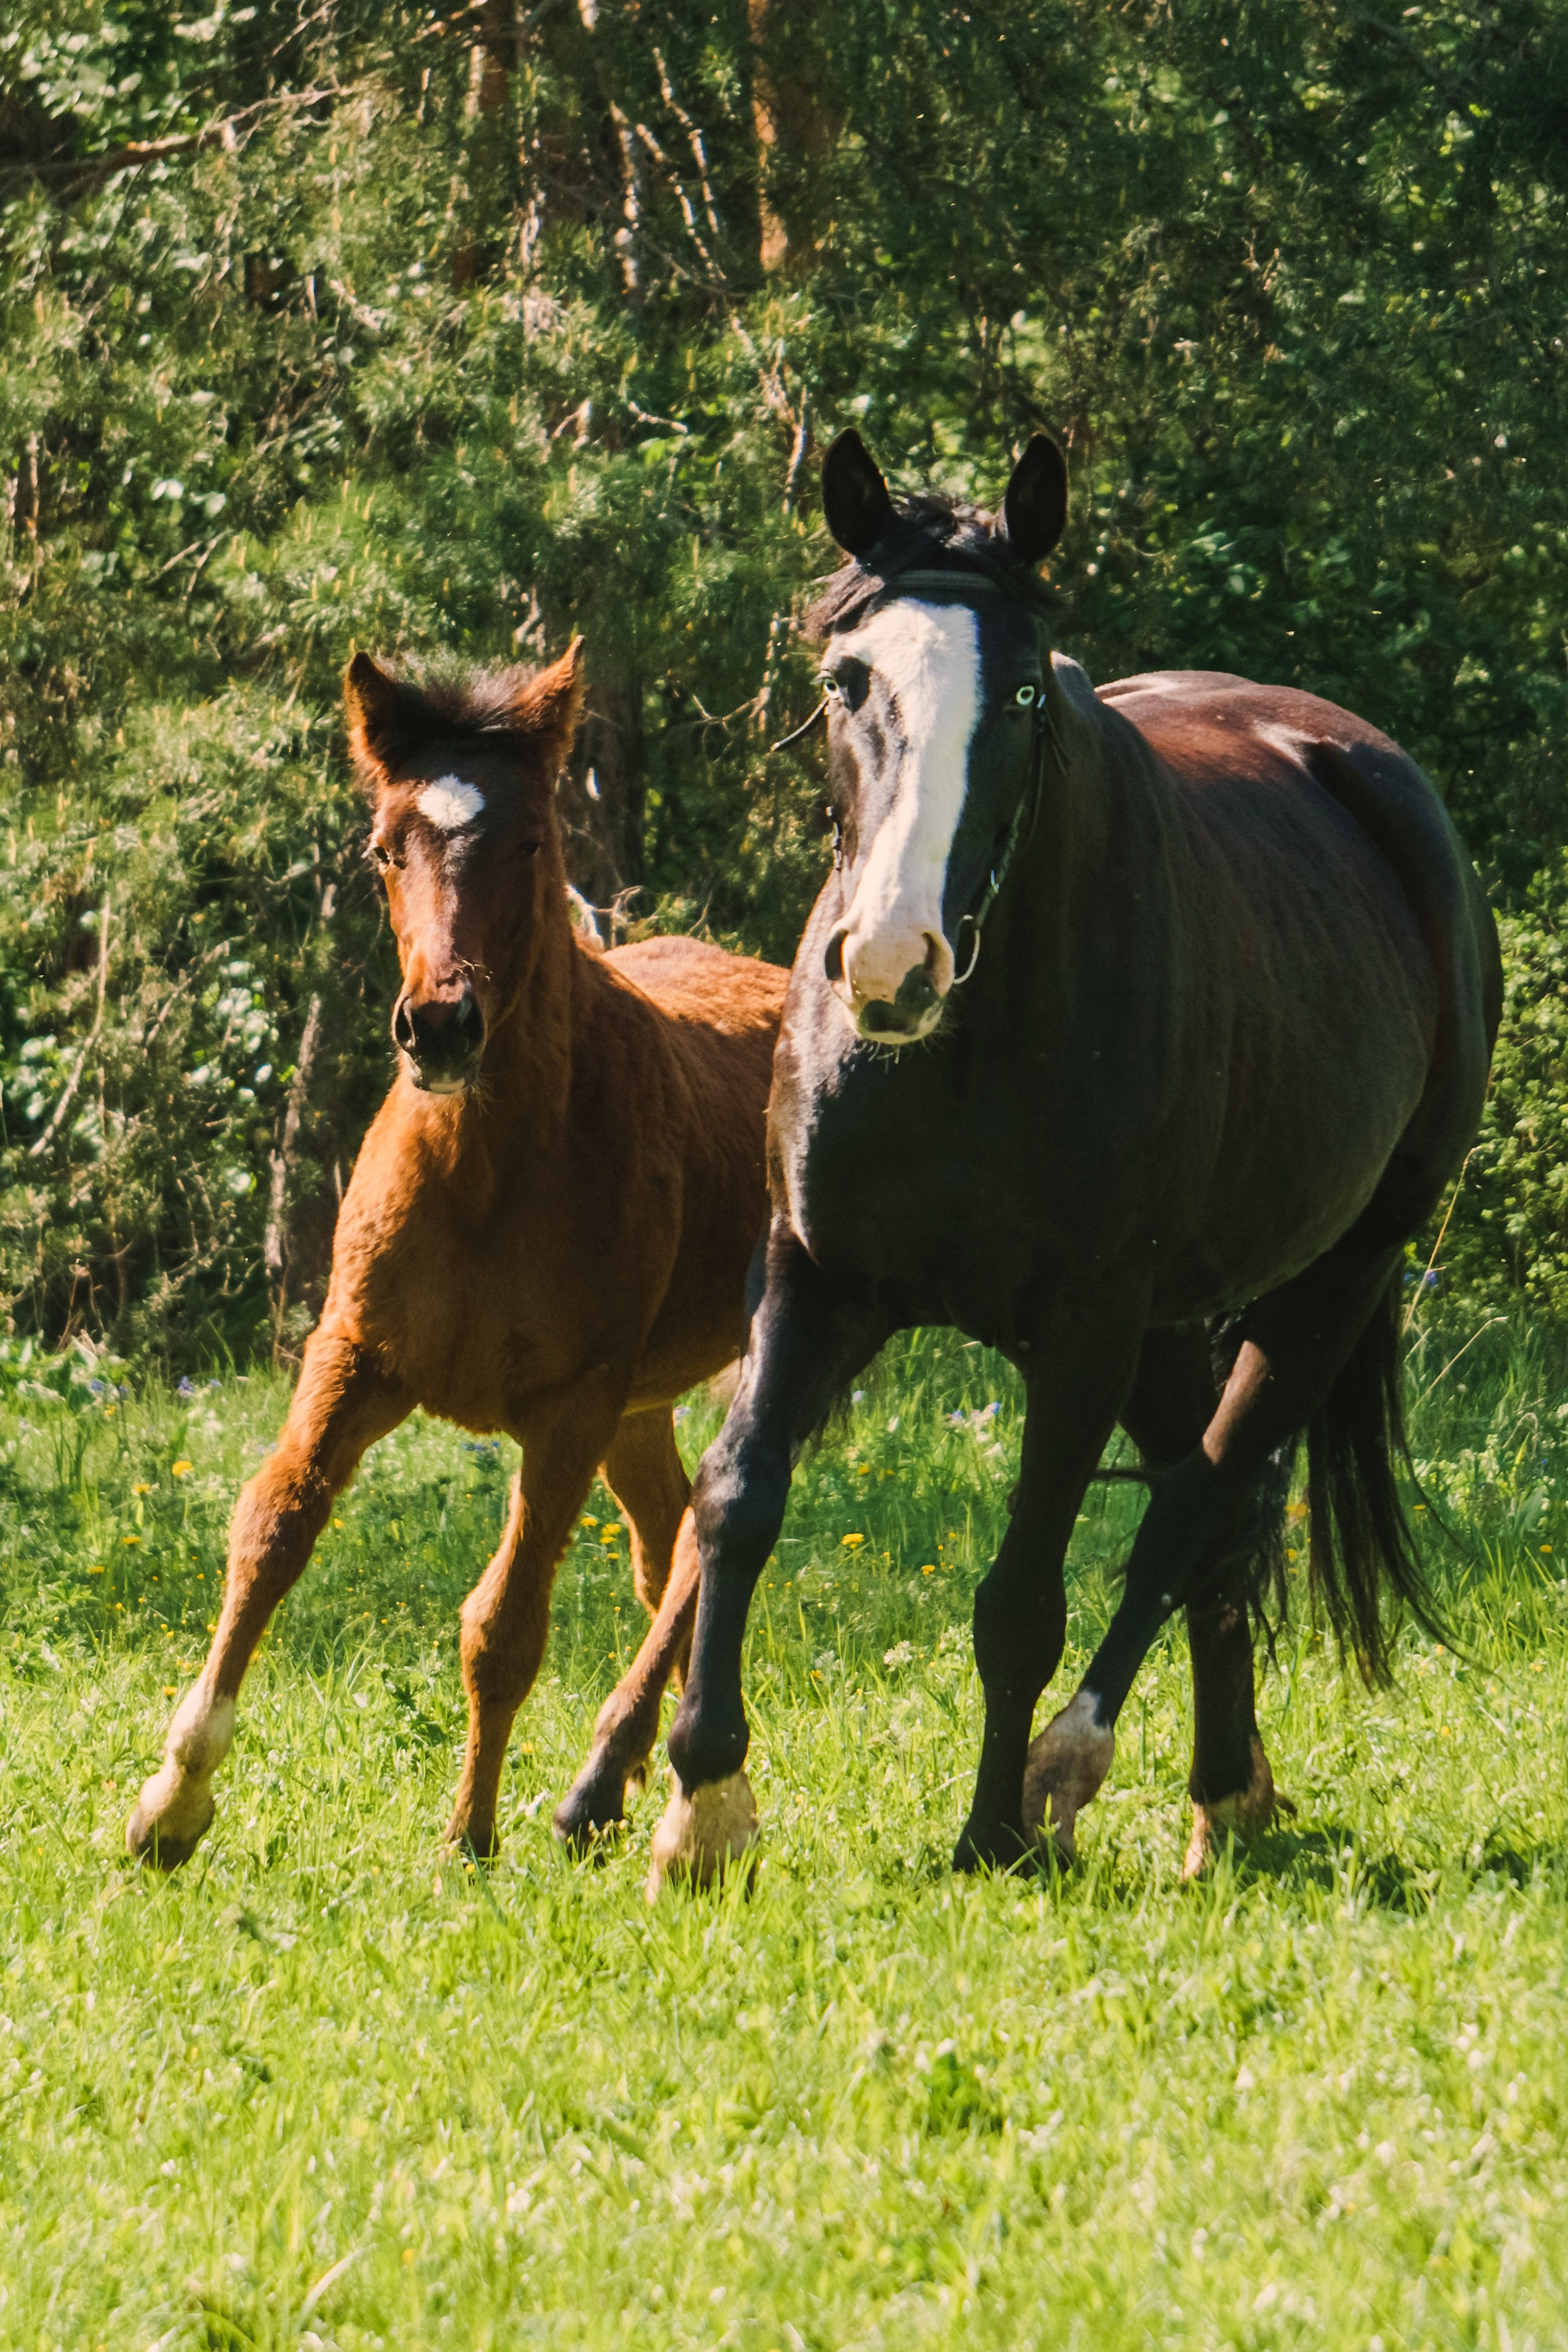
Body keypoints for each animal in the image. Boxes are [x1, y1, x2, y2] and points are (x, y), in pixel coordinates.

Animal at [127, 639, 786, 1868]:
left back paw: (656, 1794)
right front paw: (172, 1798)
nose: (439, 1026)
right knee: (668, 1539)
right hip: (641, 1404)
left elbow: (504, 1623)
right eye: (387, 847)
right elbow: (270, 1529)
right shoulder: (353, 1356)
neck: (486, 1175)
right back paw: (643, 1779)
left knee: (706, 1541)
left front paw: (467, 1835)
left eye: (529, 842)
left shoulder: (570, 1407)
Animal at [625, 430, 1500, 1893]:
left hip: (1327, 1283)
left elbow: (1020, 1595)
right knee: (1210, 1520)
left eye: (1027, 690)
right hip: (1169, 1324)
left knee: (1197, 1509)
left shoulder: (1082, 1330)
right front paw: (703, 1801)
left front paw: (986, 1830)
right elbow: (736, 1500)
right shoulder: (813, 1274)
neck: (960, 1050)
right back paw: (1224, 1784)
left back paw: (1078, 1773)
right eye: (845, 679)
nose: (890, 960)